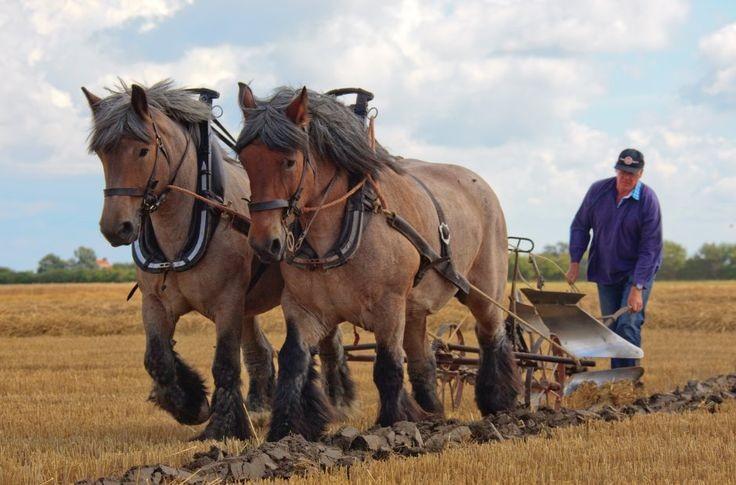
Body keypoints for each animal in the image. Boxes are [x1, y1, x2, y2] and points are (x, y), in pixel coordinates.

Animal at [82, 81, 356, 440]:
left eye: (142, 150)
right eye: (102, 153)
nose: (116, 227)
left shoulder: (228, 302)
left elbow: (225, 363)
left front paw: (221, 425)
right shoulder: (154, 302)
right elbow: (157, 358)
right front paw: (190, 404)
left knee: (330, 343)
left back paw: (339, 402)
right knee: (260, 351)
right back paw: (260, 406)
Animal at [239, 85, 520, 440]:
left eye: (289, 161)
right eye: (245, 160)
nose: (265, 243)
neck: (343, 228)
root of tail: (479, 182)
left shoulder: (389, 306)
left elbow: (387, 366)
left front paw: (391, 426)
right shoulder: (304, 309)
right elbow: (293, 361)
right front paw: (284, 432)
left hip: (484, 290)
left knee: (491, 337)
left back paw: (499, 403)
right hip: (414, 309)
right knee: (423, 362)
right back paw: (433, 414)